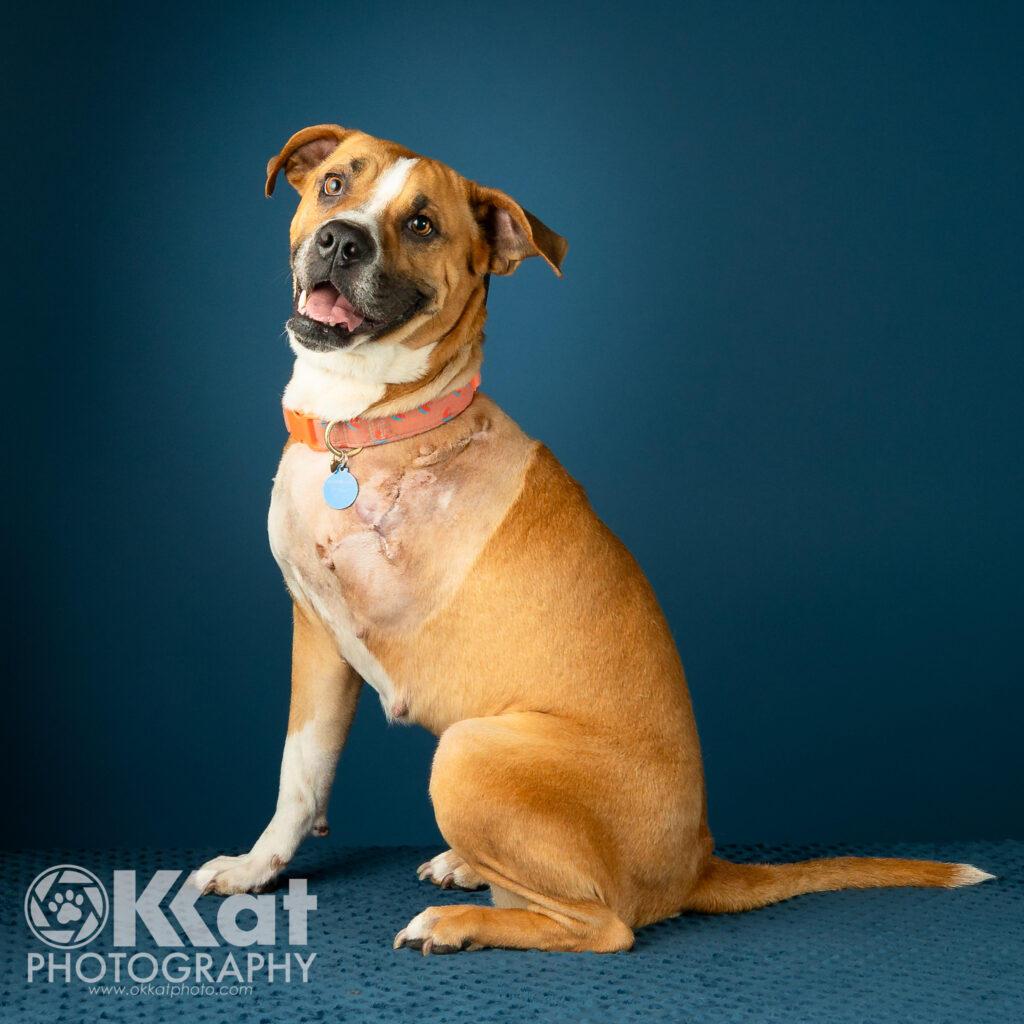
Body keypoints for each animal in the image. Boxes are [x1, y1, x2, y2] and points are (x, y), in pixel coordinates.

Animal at [192, 125, 991, 950]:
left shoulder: (359, 619)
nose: (341, 240)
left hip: (470, 749)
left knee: (600, 925)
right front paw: (256, 869)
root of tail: (697, 863)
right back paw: (464, 868)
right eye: (334, 184)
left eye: (421, 224)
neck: (371, 424)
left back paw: (457, 921)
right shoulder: (317, 634)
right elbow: (302, 770)